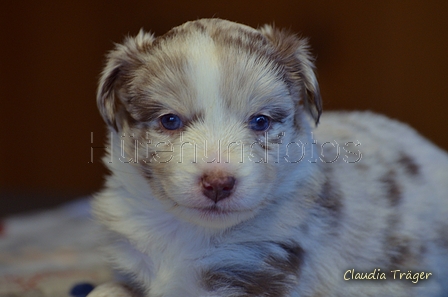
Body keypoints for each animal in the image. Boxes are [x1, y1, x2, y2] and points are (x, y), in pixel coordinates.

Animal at [88, 19, 448, 296]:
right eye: (170, 120)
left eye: (261, 121)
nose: (218, 183)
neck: (190, 233)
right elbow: (106, 289)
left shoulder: (257, 267)